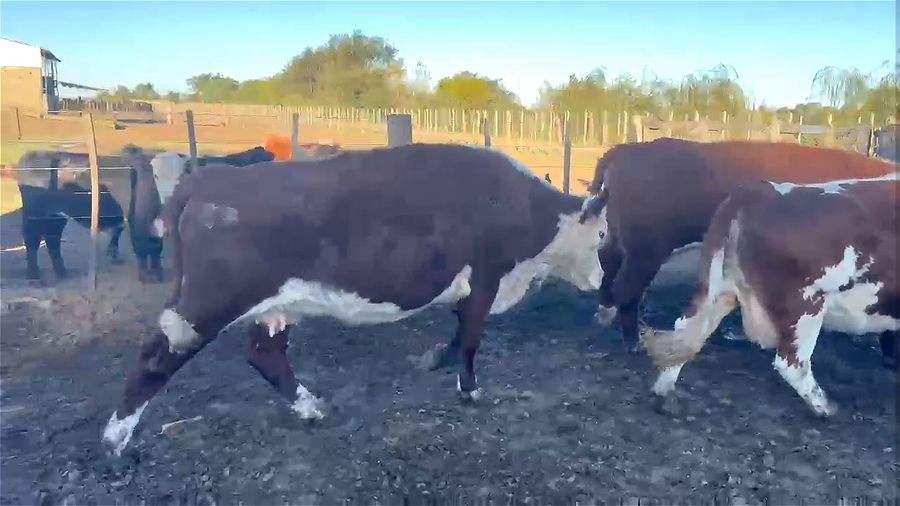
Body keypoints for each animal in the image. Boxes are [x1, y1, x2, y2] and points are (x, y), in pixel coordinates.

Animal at [100, 142, 609, 455]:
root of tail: (205, 180)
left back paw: (310, 408)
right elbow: (470, 339)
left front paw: (436, 360)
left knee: (265, 355)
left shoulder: (470, 288)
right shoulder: (485, 278)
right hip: (206, 304)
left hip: (271, 306)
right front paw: (470, 389)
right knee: (156, 358)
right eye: (603, 236)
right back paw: (114, 440)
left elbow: (458, 333)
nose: (602, 281)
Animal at [582, 138, 899, 354]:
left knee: (607, 268)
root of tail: (627, 149)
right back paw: (631, 339)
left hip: (620, 239)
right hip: (646, 250)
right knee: (627, 288)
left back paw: (603, 315)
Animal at [639, 172, 899, 418]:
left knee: (687, 331)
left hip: (719, 289)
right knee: (791, 363)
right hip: (805, 306)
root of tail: (754, 192)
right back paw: (824, 407)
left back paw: (664, 394)